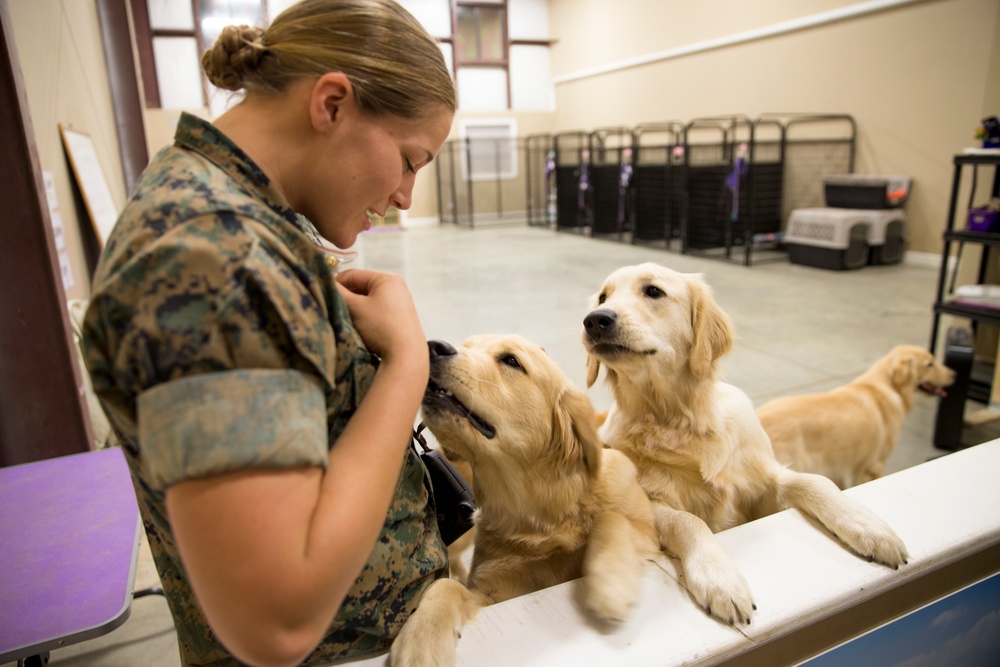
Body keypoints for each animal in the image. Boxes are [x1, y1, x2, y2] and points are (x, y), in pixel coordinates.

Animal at [388, 334, 656, 667]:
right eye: (467, 345)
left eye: (511, 361)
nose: (432, 346)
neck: (542, 514)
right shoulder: (493, 593)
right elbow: (445, 586)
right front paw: (422, 638)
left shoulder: (651, 535)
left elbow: (613, 518)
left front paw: (612, 585)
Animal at [584, 264, 912, 628]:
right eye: (603, 297)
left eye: (653, 291)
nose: (595, 320)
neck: (677, 420)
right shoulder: (647, 505)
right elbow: (689, 520)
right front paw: (719, 579)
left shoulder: (762, 483)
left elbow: (815, 482)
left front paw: (868, 526)